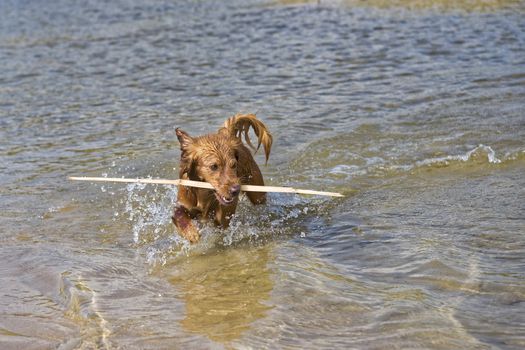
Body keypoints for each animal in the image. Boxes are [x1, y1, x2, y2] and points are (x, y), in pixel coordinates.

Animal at [172, 113, 272, 242]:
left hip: (258, 194)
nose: (235, 190)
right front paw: (191, 233)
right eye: (213, 166)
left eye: (234, 165)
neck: (204, 192)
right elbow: (179, 213)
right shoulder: (184, 203)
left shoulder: (223, 218)